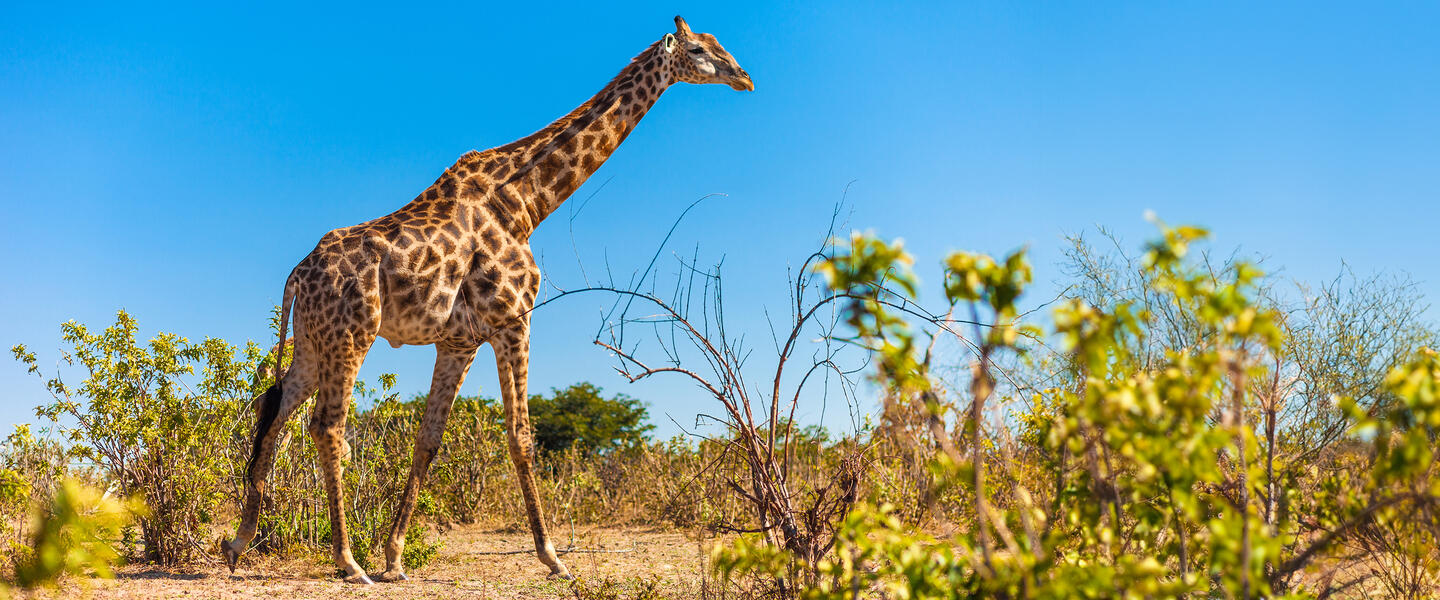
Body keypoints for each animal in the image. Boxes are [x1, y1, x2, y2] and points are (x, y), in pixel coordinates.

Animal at [221, 15, 754, 584]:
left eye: (719, 45)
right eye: (699, 50)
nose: (744, 77)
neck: (526, 202)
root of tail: (298, 275)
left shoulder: (459, 342)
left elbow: (428, 439)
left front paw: (395, 557)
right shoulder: (513, 319)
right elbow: (521, 436)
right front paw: (553, 558)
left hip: (310, 341)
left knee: (274, 409)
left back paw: (239, 542)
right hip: (352, 335)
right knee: (327, 425)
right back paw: (347, 561)